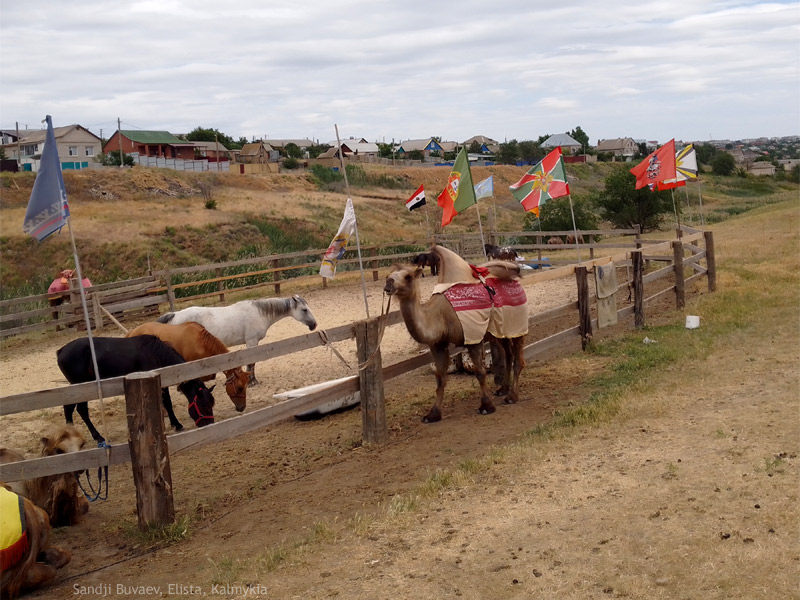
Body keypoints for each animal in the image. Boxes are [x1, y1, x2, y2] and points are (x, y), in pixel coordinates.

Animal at [56, 336, 216, 442]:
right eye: (203, 405)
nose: (209, 424)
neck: (154, 353)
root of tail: (61, 350)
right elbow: (166, 403)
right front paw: (177, 424)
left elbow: (167, 403)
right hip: (81, 387)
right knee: (81, 410)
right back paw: (98, 437)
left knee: (69, 408)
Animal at [158, 296, 318, 384]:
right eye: (304, 310)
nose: (314, 325)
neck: (259, 313)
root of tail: (174, 315)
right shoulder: (252, 342)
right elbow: (251, 363)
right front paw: (253, 381)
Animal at [384, 244, 528, 422]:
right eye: (388, 276)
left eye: (408, 276)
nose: (388, 284)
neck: (438, 315)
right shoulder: (438, 345)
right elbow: (440, 379)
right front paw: (432, 414)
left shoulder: (473, 338)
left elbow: (480, 373)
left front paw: (486, 406)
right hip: (500, 331)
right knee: (508, 354)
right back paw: (503, 390)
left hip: (517, 326)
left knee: (518, 359)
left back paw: (512, 397)